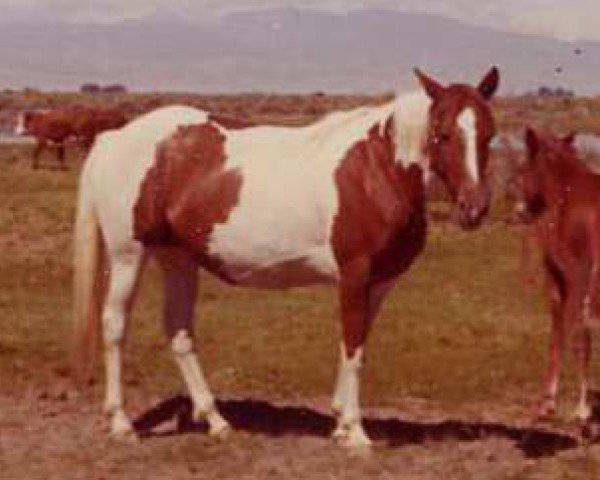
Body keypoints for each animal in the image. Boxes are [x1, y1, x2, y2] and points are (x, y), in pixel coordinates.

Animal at [71, 66, 502, 446]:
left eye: (489, 134)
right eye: (442, 133)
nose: (474, 207)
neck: (376, 171)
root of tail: (114, 137)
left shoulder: (379, 283)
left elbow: (356, 345)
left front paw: (340, 423)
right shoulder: (355, 274)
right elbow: (352, 347)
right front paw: (355, 432)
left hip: (177, 259)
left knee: (179, 332)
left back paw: (216, 421)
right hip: (129, 256)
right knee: (114, 326)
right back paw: (122, 423)